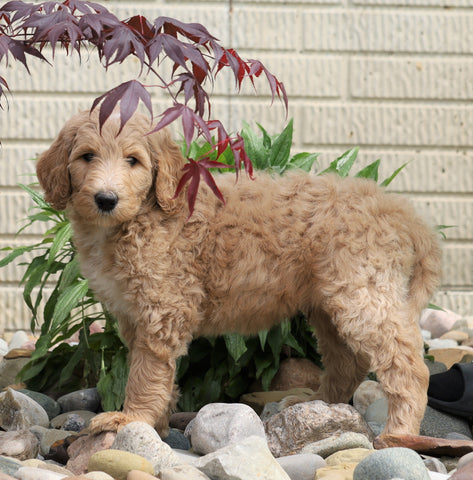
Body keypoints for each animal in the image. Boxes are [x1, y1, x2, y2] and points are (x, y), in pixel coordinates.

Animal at [36, 110, 438, 436]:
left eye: (133, 161)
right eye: (87, 156)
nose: (106, 199)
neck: (141, 217)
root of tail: (399, 211)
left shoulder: (163, 307)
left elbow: (145, 372)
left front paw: (131, 419)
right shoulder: (135, 314)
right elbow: (155, 371)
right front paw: (158, 423)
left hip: (361, 295)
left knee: (408, 366)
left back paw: (398, 434)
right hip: (329, 304)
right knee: (348, 362)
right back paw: (317, 404)